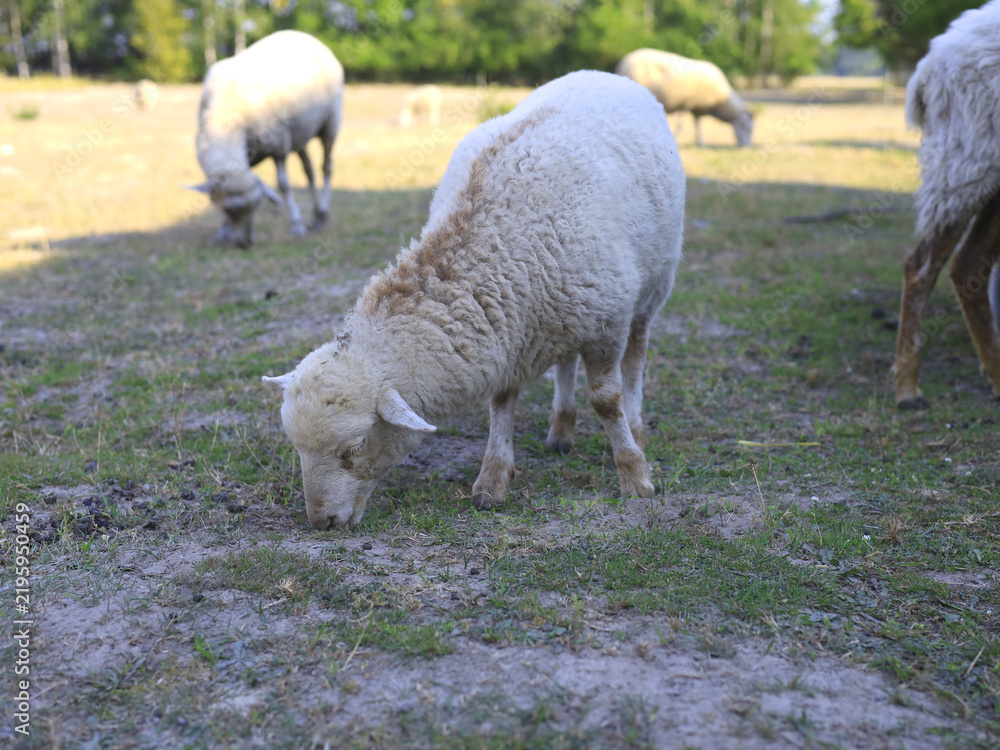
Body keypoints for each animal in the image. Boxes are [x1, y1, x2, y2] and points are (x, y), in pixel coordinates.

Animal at [189, 30, 344, 248]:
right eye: (227, 210)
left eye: (256, 206)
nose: (245, 244)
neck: (225, 118)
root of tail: (307, 36)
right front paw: (223, 232)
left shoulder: (279, 145)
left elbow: (284, 185)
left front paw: (297, 225)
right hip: (299, 133)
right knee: (309, 171)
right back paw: (316, 217)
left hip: (330, 122)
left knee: (326, 167)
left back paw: (323, 211)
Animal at [262, 70, 685, 530]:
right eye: (298, 448)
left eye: (353, 447)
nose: (321, 521)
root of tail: (601, 74)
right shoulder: (514, 329)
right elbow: (501, 401)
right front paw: (492, 479)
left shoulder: (605, 322)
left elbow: (607, 401)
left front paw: (634, 475)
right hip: (571, 307)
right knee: (565, 362)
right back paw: (561, 429)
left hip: (653, 285)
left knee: (636, 357)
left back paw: (636, 425)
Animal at [616, 48, 753, 148]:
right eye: (746, 127)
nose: (747, 147)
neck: (719, 101)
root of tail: (622, 63)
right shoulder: (685, 104)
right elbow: (681, 125)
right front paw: (677, 140)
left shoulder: (697, 108)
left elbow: (698, 124)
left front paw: (701, 142)